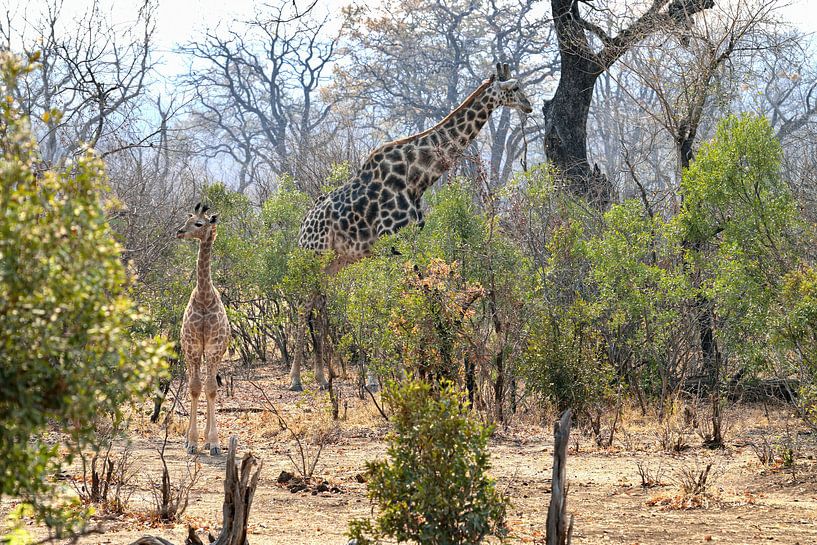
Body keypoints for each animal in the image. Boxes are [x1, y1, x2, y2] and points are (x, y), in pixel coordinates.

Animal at [290, 62, 532, 392]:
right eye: (515, 87)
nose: (529, 106)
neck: (417, 177)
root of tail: (304, 224)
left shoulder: (408, 246)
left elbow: (410, 298)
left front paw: (408, 371)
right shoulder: (390, 247)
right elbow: (387, 301)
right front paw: (380, 378)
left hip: (335, 261)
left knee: (318, 305)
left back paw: (321, 376)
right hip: (314, 255)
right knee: (305, 304)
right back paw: (296, 379)